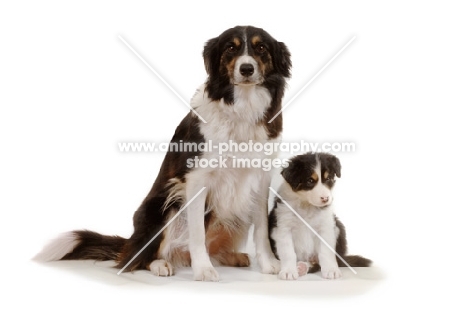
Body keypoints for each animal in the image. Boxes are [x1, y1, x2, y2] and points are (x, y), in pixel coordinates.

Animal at [36, 26, 290, 280]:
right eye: (230, 48)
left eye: (261, 48)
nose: (246, 68)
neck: (242, 105)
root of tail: (131, 241)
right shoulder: (196, 178)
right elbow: (197, 232)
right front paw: (203, 269)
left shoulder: (261, 177)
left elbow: (261, 227)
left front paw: (269, 264)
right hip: (162, 207)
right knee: (139, 258)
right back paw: (160, 264)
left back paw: (232, 257)